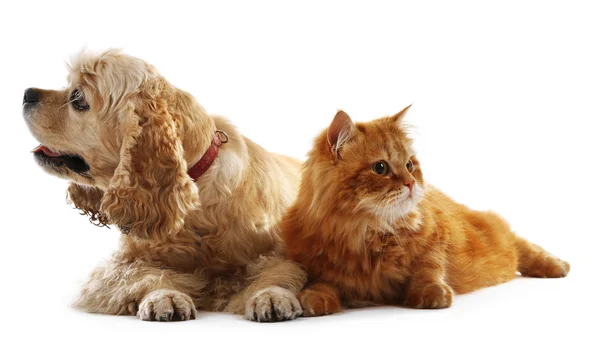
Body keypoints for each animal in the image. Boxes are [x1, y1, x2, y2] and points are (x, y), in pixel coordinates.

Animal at [22, 49, 308, 322]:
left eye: (78, 97)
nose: (26, 94)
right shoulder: (122, 265)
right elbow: (147, 276)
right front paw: (166, 297)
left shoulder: (277, 252)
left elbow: (277, 273)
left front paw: (270, 296)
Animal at [282, 107, 572, 316]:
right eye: (380, 168)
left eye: (410, 165)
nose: (411, 183)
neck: (368, 233)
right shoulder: (317, 263)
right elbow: (323, 283)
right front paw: (315, 299)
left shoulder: (435, 240)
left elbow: (427, 269)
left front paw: (432, 294)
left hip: (493, 231)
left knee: (518, 242)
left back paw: (557, 265)